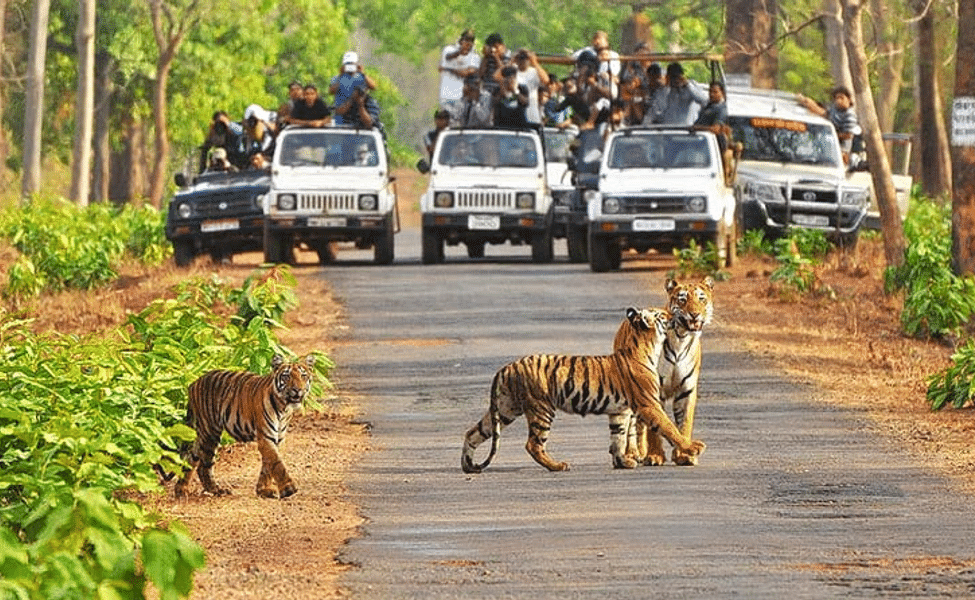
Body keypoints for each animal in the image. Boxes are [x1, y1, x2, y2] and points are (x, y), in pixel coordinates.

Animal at [173, 354, 314, 500]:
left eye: (303, 376)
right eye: (286, 376)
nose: (297, 390)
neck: (284, 408)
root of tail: (194, 383)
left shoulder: (277, 438)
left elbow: (267, 465)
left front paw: (263, 490)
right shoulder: (266, 437)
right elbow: (276, 463)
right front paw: (288, 488)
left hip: (204, 434)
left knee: (192, 458)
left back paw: (183, 490)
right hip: (209, 432)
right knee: (203, 465)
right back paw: (211, 490)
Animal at [462, 310, 704, 474]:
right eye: (661, 315)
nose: (673, 313)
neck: (647, 346)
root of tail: (507, 367)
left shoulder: (620, 411)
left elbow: (618, 437)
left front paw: (622, 462)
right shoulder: (649, 404)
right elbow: (669, 427)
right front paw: (692, 447)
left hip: (506, 409)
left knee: (473, 432)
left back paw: (468, 465)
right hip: (541, 408)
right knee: (533, 444)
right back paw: (558, 466)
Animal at [624, 278, 716, 466]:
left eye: (701, 299)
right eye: (682, 300)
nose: (694, 314)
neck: (681, 338)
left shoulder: (687, 390)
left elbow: (684, 423)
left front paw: (684, 455)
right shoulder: (653, 390)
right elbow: (655, 427)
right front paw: (655, 455)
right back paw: (634, 454)